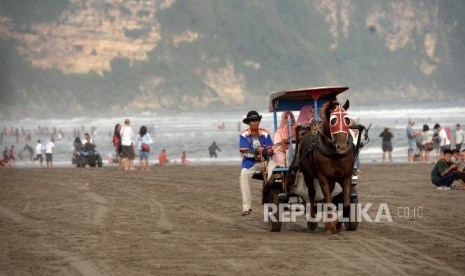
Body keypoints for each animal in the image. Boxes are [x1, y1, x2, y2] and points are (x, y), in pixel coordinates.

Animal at [298, 99, 352, 235]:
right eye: (333, 120)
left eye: (347, 119)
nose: (342, 146)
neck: (334, 153)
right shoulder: (323, 178)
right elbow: (328, 201)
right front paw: (330, 226)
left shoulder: (346, 177)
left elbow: (346, 204)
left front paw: (337, 225)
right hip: (307, 173)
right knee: (312, 193)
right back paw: (312, 221)